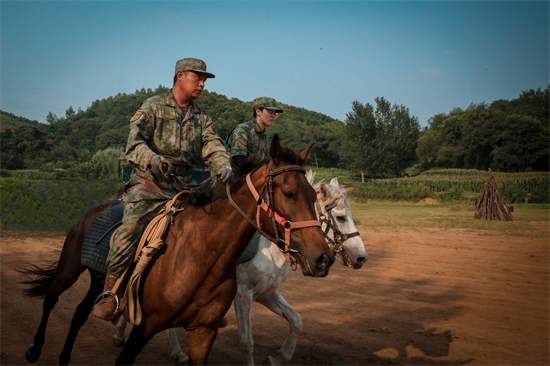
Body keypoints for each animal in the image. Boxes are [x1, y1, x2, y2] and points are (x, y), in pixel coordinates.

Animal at [19, 136, 334, 364]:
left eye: (313, 196)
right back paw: (35, 349)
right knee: (51, 298)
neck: (202, 253)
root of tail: (97, 208)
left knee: (81, 312)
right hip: (69, 269)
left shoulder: (205, 331)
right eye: (289, 193)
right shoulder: (145, 327)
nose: (325, 258)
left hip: (100, 280)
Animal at [114, 172, 368, 366]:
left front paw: (277, 357)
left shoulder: (266, 293)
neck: (270, 249)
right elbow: (247, 340)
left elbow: (296, 321)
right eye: (341, 217)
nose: (362, 257)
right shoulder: (243, 295)